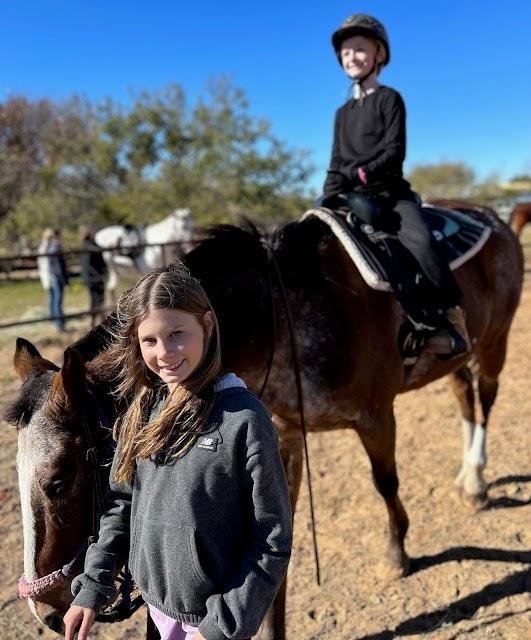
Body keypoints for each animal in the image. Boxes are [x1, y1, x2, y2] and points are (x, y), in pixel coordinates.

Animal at [7, 206, 524, 640]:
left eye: (59, 481)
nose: (46, 609)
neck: (286, 310)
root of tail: (495, 219)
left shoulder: (376, 417)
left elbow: (386, 482)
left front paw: (396, 553)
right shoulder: (284, 438)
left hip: (495, 342)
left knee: (487, 398)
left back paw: (477, 480)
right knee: (464, 398)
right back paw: (467, 475)